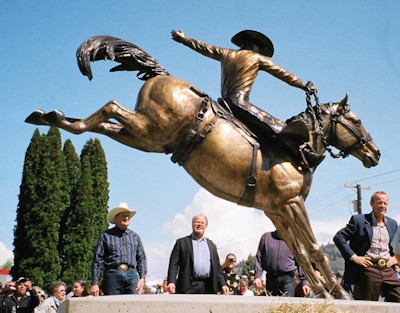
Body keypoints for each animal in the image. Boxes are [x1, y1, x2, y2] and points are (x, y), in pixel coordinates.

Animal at [25, 35, 382, 298]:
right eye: (356, 120)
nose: (376, 153)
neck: (296, 149)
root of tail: (163, 77)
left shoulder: (276, 210)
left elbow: (301, 254)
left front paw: (323, 292)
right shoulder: (292, 204)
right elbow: (314, 249)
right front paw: (341, 293)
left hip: (144, 137)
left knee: (103, 122)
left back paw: (53, 118)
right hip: (148, 129)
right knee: (111, 106)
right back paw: (55, 117)